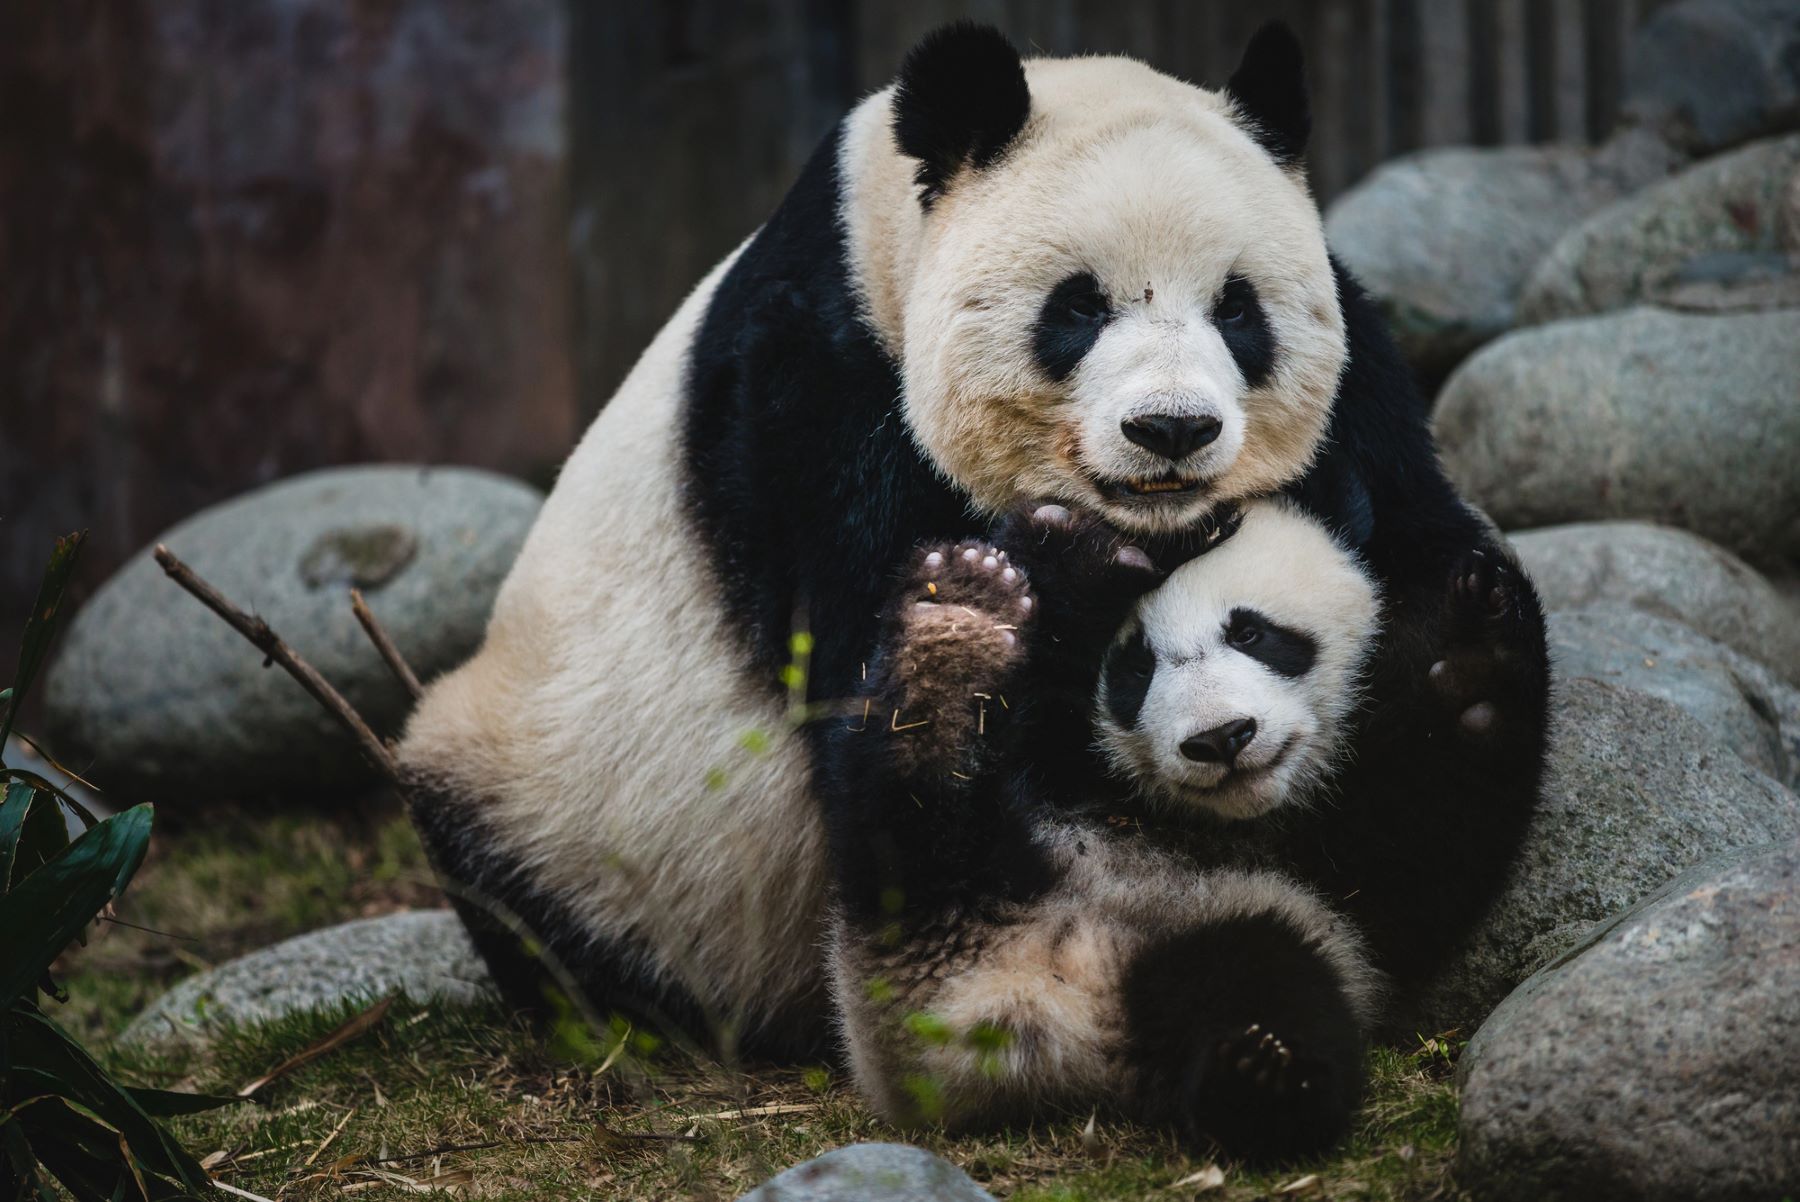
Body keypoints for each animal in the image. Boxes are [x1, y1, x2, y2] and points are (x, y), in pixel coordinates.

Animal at [401, 23, 1555, 1058]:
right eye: (1078, 308)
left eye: (1238, 309)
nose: (1171, 429)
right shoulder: (810, 401)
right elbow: (881, 690)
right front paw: (1031, 592)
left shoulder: (1365, 392)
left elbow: (1412, 556)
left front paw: (1455, 665)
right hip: (562, 802)